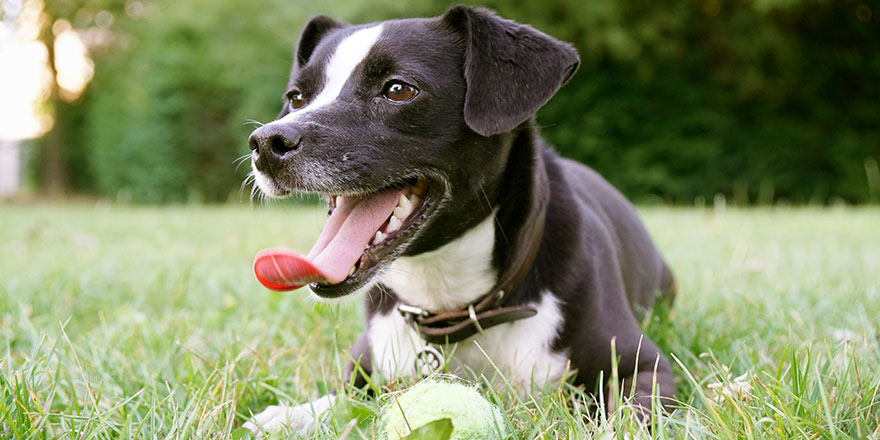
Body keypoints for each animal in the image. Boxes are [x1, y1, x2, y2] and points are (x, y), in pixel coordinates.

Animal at [244, 5, 676, 434]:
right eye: (297, 97)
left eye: (398, 89)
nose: (266, 143)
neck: (449, 300)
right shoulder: (366, 368)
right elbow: (342, 399)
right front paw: (293, 414)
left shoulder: (646, 368)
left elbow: (629, 416)